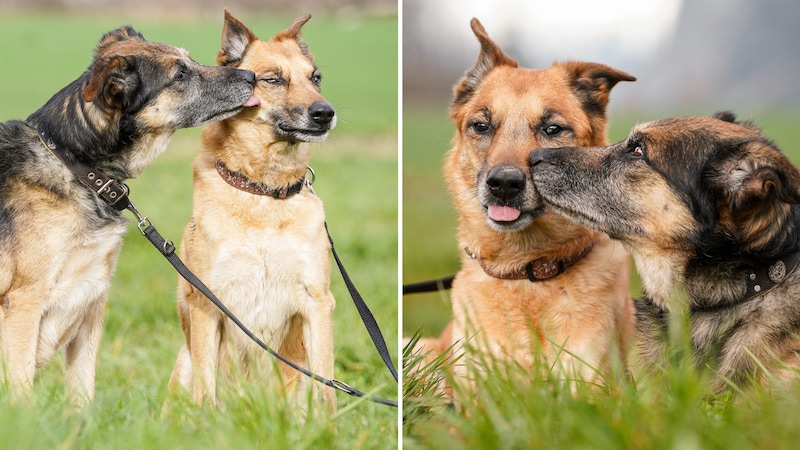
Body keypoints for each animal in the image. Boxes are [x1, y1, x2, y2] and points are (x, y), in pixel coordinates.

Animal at [0, 25, 256, 404]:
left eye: (190, 59)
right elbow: (21, 393)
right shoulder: (24, 303)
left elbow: (83, 395)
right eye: (180, 74)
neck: (74, 165)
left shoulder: (91, 301)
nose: (252, 75)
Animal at [170, 11, 340, 412]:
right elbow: (206, 388)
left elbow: (326, 389)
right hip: (183, 363)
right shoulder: (207, 303)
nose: (325, 113)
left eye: (316, 78)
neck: (264, 192)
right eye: (273, 79)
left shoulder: (317, 303)